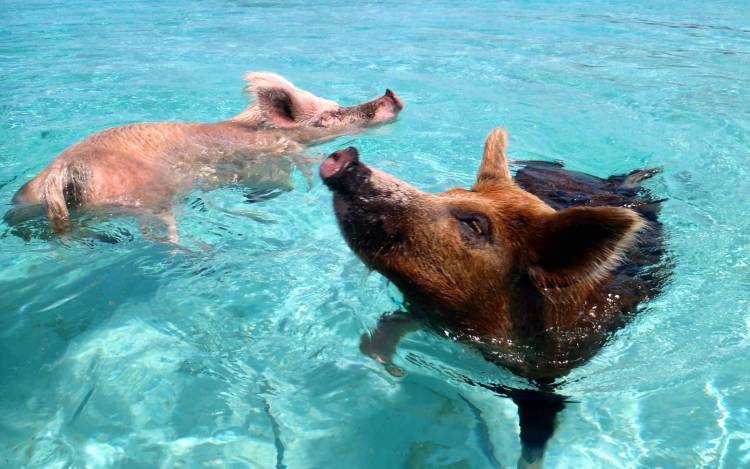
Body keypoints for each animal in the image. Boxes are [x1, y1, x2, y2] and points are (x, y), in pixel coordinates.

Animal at [7, 72, 406, 241]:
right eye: (329, 115)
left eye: (336, 104)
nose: (392, 95)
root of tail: (60, 172)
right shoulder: (272, 159)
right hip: (150, 196)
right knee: (161, 235)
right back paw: (199, 252)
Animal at [320, 128, 668, 468]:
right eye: (448, 192)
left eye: (474, 224)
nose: (345, 158)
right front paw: (385, 362)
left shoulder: (547, 380)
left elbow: (535, 443)